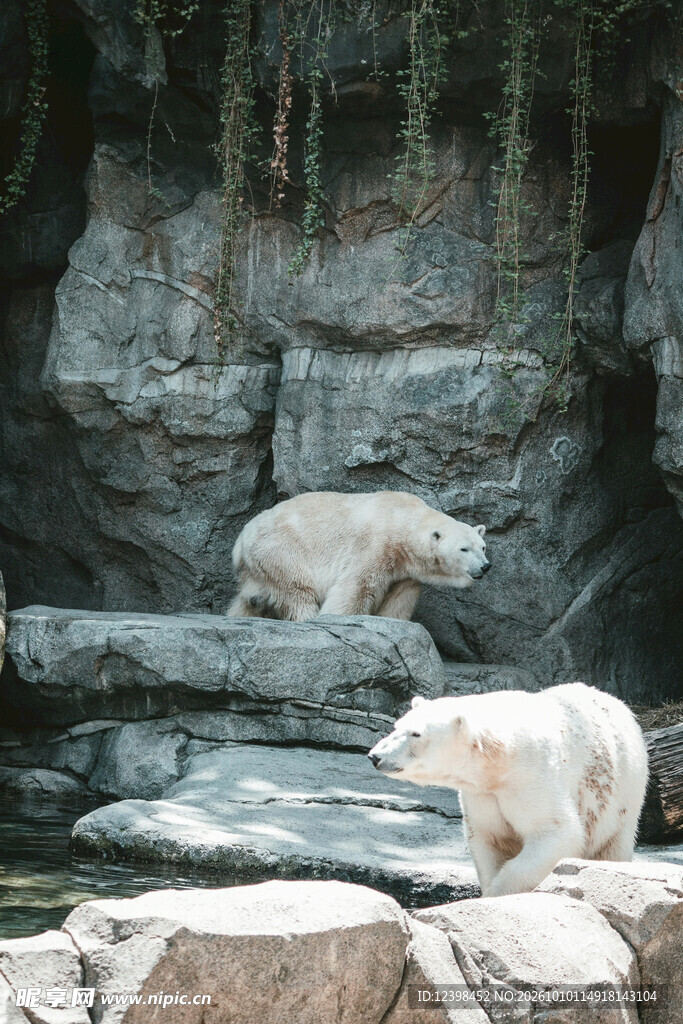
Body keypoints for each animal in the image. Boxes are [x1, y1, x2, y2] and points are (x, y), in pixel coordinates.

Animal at [227, 490, 490, 622]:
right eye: (464, 549)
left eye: (483, 547)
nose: (485, 567)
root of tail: (241, 541)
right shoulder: (376, 546)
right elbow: (356, 587)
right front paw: (336, 617)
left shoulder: (407, 570)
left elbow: (400, 599)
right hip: (280, 550)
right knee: (297, 590)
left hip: (257, 568)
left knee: (249, 599)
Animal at [368, 683, 648, 897]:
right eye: (397, 726)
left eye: (416, 734)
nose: (375, 756)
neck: (499, 759)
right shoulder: (482, 793)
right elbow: (488, 837)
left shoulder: (531, 779)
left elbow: (557, 833)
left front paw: (497, 894)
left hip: (625, 793)